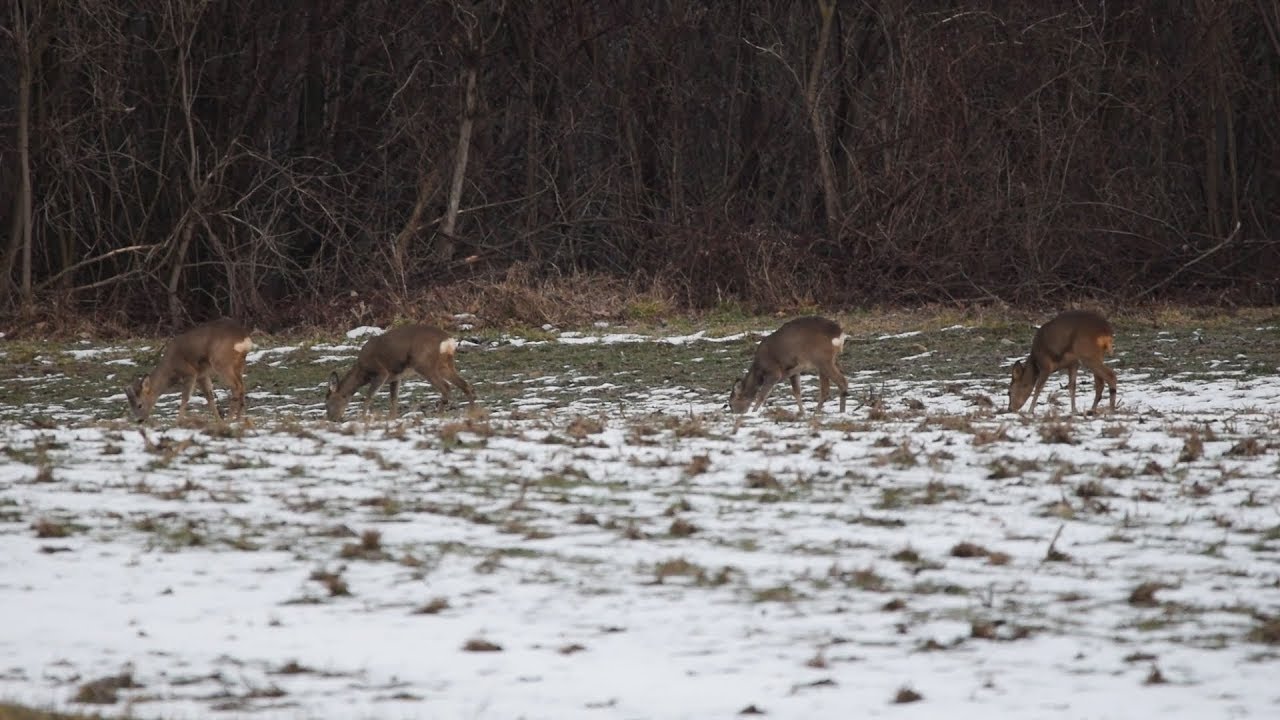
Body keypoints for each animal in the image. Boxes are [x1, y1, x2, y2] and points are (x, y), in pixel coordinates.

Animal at [124, 318, 254, 422]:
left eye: (139, 405)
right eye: (130, 406)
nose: (139, 420)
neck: (170, 369)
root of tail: (243, 337)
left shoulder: (190, 372)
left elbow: (185, 397)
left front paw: (177, 422)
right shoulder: (202, 375)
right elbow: (210, 398)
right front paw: (218, 420)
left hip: (221, 362)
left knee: (236, 387)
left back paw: (230, 418)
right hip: (238, 364)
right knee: (242, 386)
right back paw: (238, 418)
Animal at [325, 323, 475, 421]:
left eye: (327, 403)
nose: (331, 419)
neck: (362, 372)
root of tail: (448, 341)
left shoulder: (381, 372)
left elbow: (369, 396)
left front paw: (362, 418)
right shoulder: (395, 377)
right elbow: (394, 399)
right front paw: (392, 417)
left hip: (423, 364)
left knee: (446, 387)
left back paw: (439, 413)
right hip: (444, 364)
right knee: (465, 384)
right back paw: (472, 411)